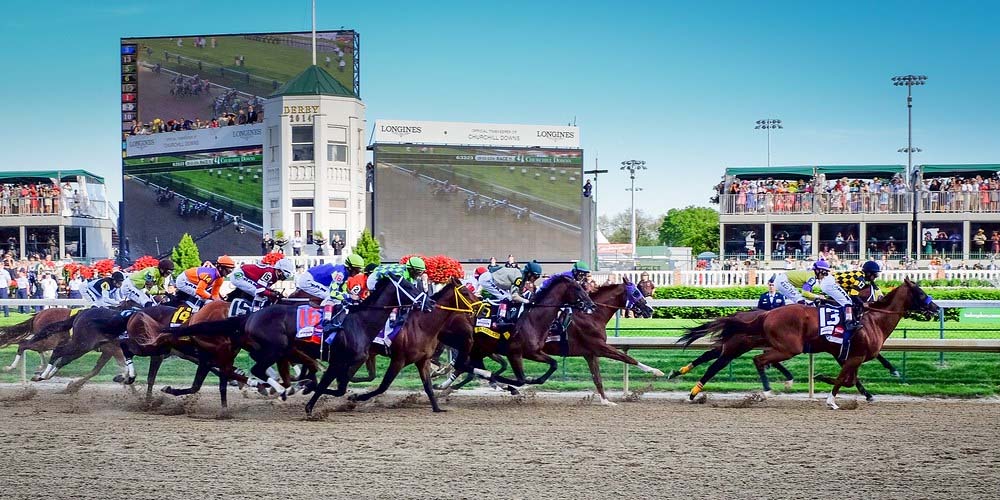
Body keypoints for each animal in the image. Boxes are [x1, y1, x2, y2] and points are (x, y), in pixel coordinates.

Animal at [677, 278, 939, 409]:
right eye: (920, 292)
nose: (936, 308)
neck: (871, 318)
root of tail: (766, 314)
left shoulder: (847, 355)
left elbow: (851, 379)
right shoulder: (852, 356)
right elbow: (845, 379)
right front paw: (830, 398)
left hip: (753, 343)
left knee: (717, 356)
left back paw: (685, 378)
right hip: (781, 346)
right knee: (746, 360)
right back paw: (765, 390)